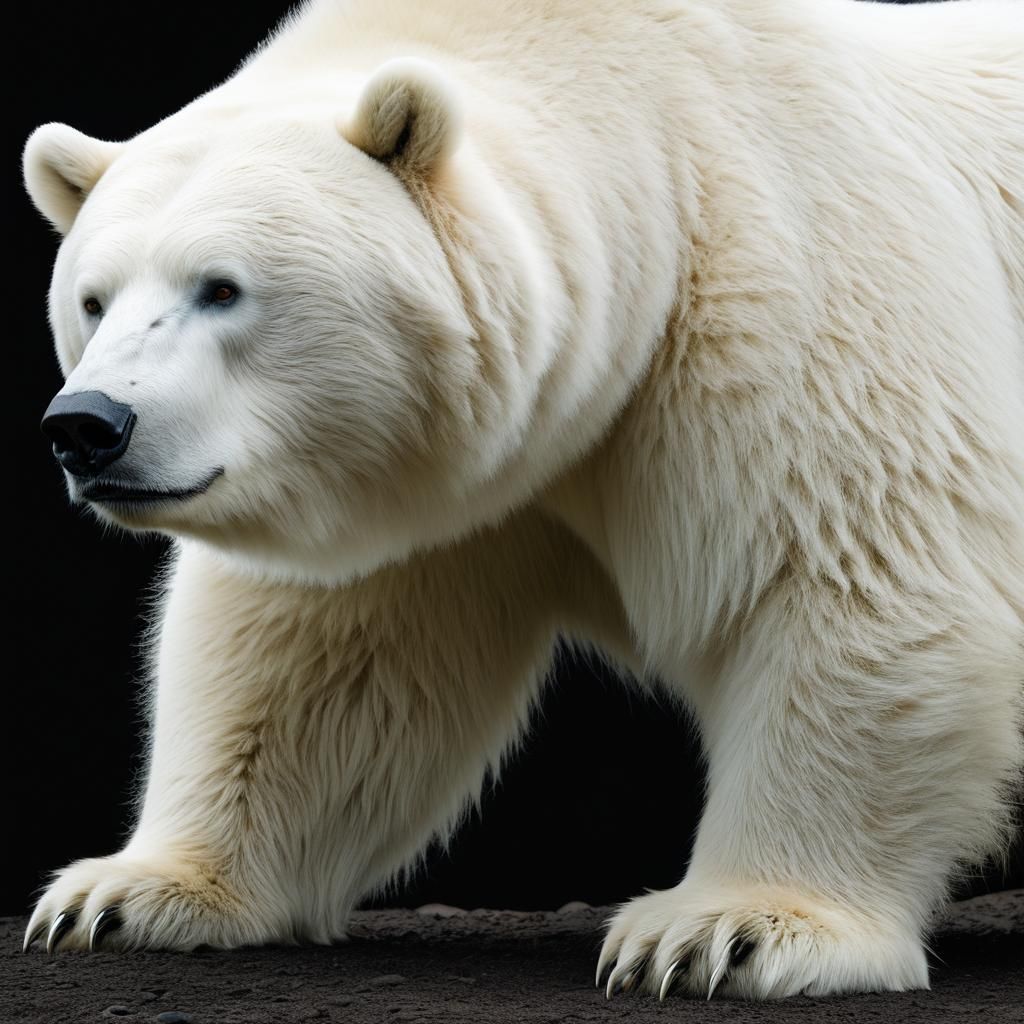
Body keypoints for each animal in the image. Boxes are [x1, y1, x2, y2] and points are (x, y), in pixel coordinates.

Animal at [21, 0, 1023, 1001]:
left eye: (222, 287)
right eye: (94, 300)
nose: (87, 425)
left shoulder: (791, 284)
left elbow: (856, 577)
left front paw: (726, 931)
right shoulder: (443, 479)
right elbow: (320, 660)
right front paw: (125, 893)